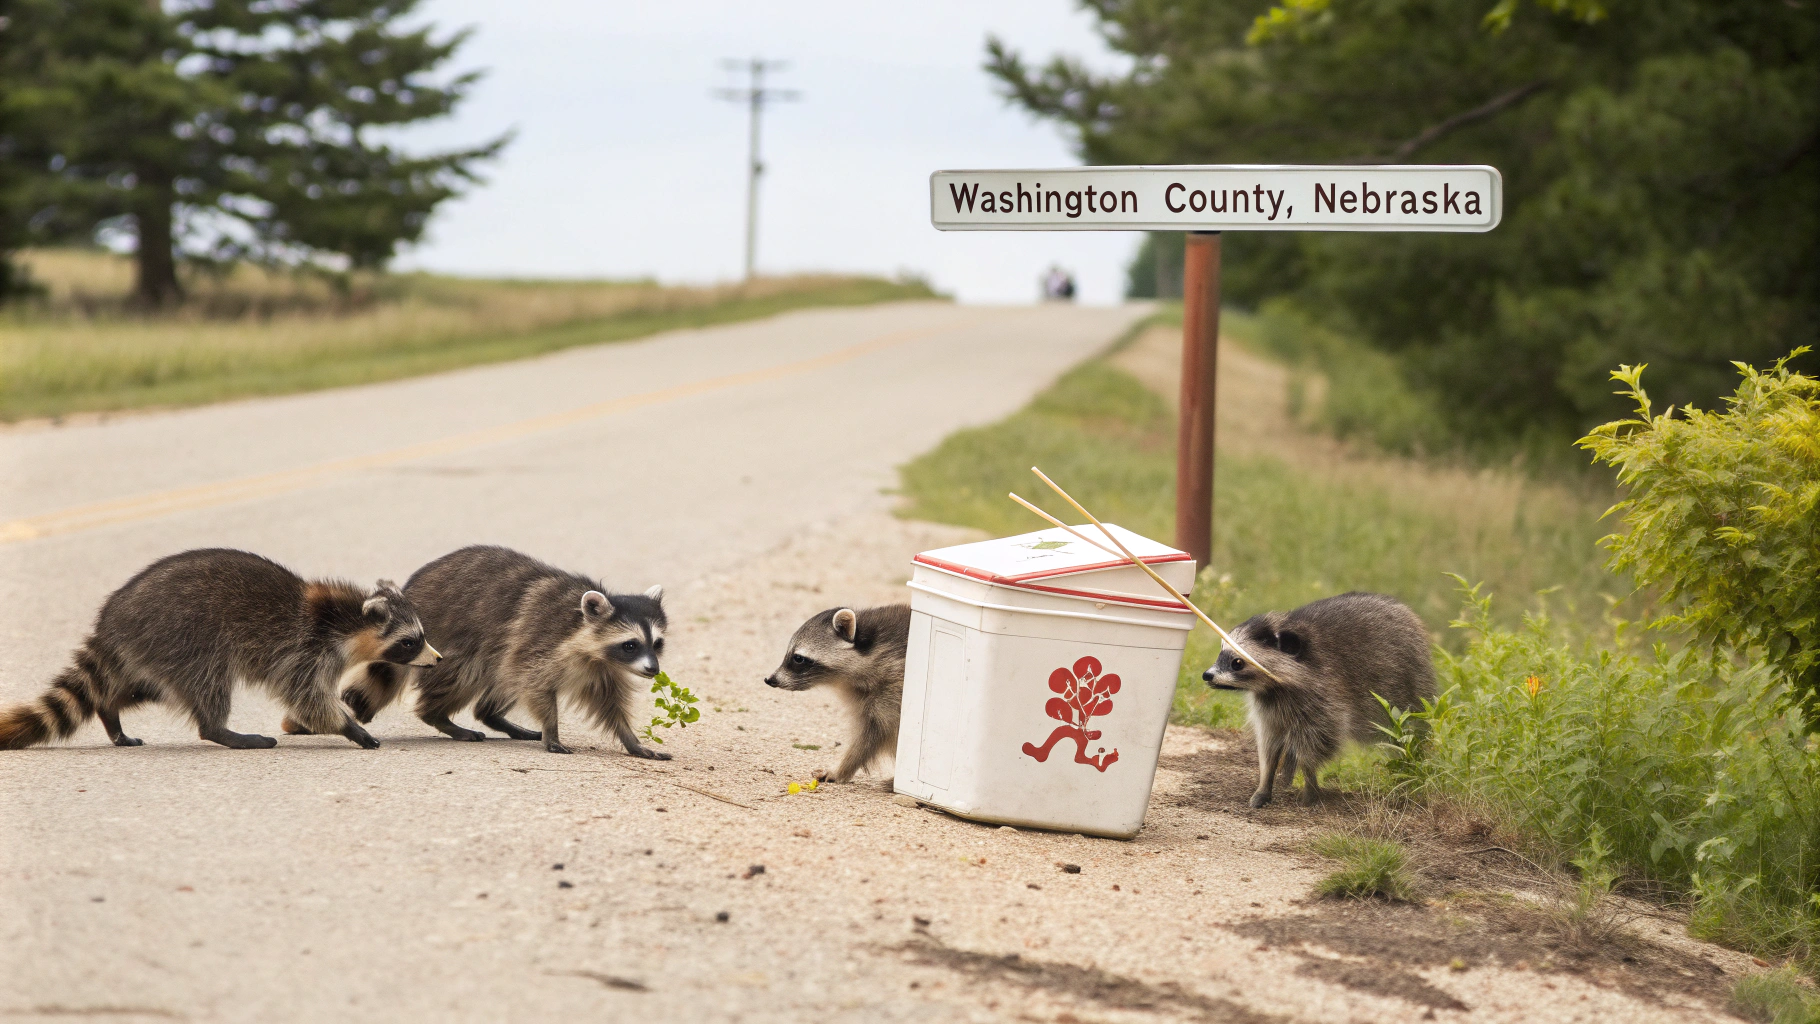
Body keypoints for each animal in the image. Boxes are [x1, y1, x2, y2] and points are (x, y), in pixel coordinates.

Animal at [0, 549, 437, 751]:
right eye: (410, 642)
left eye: (421, 635)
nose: (437, 659)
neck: (349, 621)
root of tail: (112, 619)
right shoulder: (307, 649)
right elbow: (307, 697)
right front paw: (349, 727)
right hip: (185, 636)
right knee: (209, 682)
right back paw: (224, 731)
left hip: (150, 654)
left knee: (137, 689)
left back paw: (110, 712)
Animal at [333, 545, 670, 758]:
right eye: (630, 645)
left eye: (657, 643)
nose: (653, 670)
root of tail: (410, 593)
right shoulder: (540, 639)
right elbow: (533, 682)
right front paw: (552, 730)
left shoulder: (602, 669)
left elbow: (610, 703)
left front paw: (630, 739)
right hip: (448, 636)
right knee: (469, 673)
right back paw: (439, 715)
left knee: (502, 676)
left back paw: (492, 715)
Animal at [1202, 592, 1434, 808]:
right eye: (1221, 653)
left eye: (1237, 662)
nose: (1206, 675)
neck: (1272, 687)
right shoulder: (1268, 706)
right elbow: (1269, 745)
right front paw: (1265, 783)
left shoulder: (1325, 698)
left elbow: (1317, 743)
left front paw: (1309, 782)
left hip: (1410, 685)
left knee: (1411, 729)